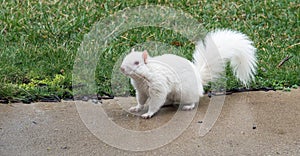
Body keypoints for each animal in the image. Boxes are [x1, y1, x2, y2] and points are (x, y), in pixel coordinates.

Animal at [120, 29, 256, 119]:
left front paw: (148, 113)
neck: (142, 77)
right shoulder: (140, 90)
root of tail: (199, 80)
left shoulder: (158, 86)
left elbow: (155, 101)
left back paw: (188, 106)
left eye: (137, 62)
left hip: (186, 92)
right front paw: (137, 107)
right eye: (125, 57)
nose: (121, 68)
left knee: (194, 99)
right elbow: (141, 100)